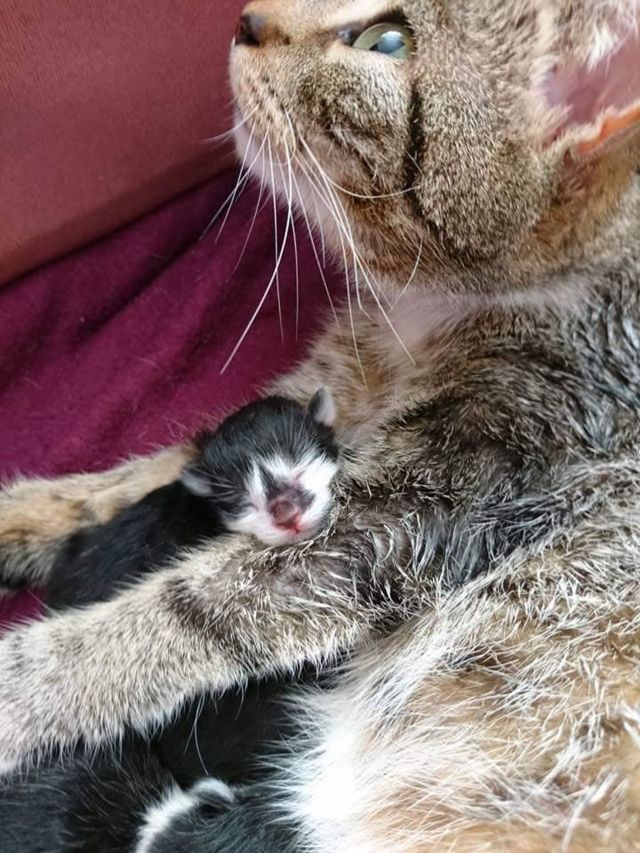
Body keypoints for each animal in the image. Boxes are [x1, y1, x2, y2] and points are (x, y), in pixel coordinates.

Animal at [1, 0, 640, 849]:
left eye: (386, 41)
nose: (247, 19)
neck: (421, 314)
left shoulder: (454, 487)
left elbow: (193, 610)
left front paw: (20, 687)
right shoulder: (316, 399)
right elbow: (146, 473)